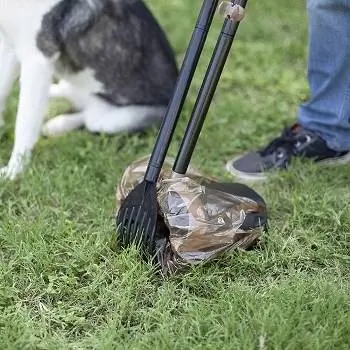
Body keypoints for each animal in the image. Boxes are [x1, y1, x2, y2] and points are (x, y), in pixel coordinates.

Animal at [0, 0, 178, 179]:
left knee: (89, 118)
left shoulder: (37, 58)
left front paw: (14, 171)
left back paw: (59, 123)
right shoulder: (9, 46)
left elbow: (24, 124)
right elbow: (2, 90)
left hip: (113, 120)